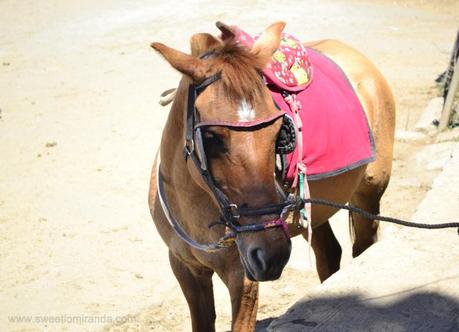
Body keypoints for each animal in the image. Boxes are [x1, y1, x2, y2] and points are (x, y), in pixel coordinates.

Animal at [147, 22, 396, 330]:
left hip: (368, 195)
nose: (272, 253)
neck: (194, 203)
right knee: (329, 254)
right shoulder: (185, 268)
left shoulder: (241, 276)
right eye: (211, 137)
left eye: (279, 132)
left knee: (363, 246)